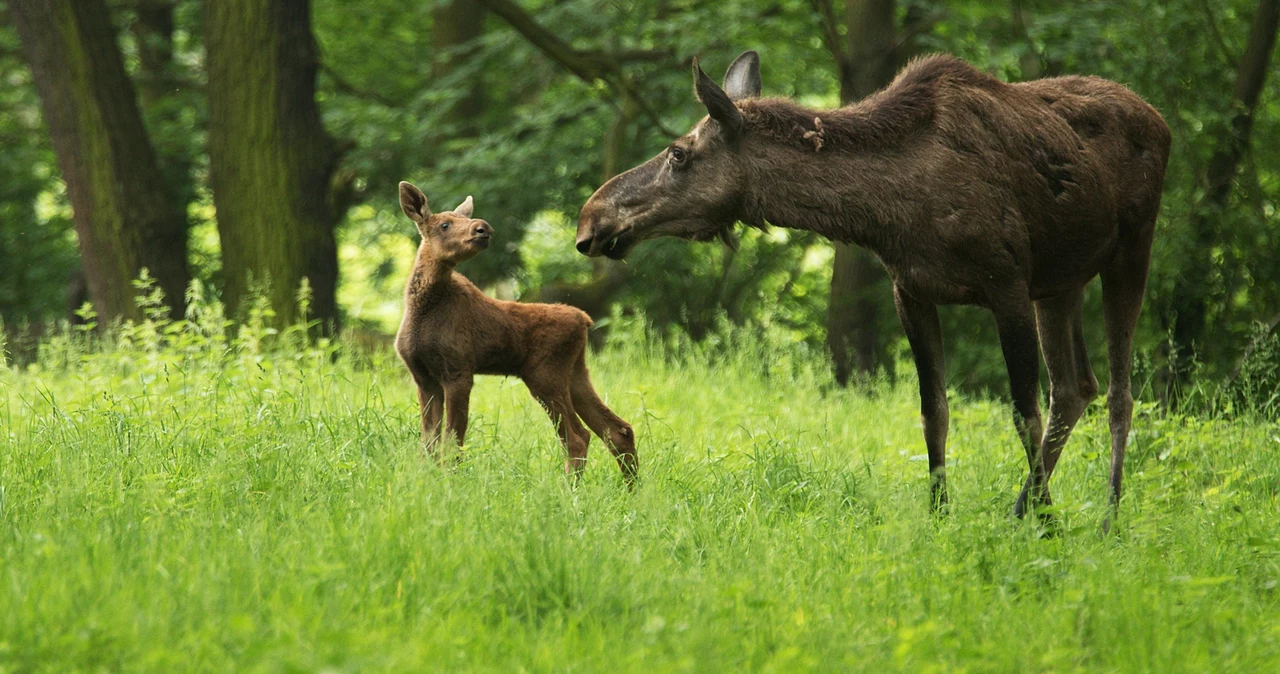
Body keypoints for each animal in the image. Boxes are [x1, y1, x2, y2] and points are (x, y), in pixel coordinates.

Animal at [386, 181, 632, 483]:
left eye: (463, 220)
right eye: (444, 224)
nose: (483, 228)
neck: (422, 312)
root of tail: (584, 320)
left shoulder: (459, 369)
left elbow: (452, 440)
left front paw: (449, 481)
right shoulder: (423, 376)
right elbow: (429, 442)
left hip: (544, 373)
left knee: (577, 436)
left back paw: (569, 488)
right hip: (575, 371)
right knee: (617, 430)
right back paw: (631, 488)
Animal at [578, 50, 1172, 521]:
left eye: (678, 153)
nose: (591, 219)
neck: (887, 211)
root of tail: (1161, 119)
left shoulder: (1006, 284)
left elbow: (1021, 412)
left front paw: (1049, 525)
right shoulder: (910, 290)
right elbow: (934, 413)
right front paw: (941, 516)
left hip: (1130, 249)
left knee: (1117, 393)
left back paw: (1105, 518)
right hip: (1060, 282)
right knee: (1075, 388)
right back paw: (1023, 508)